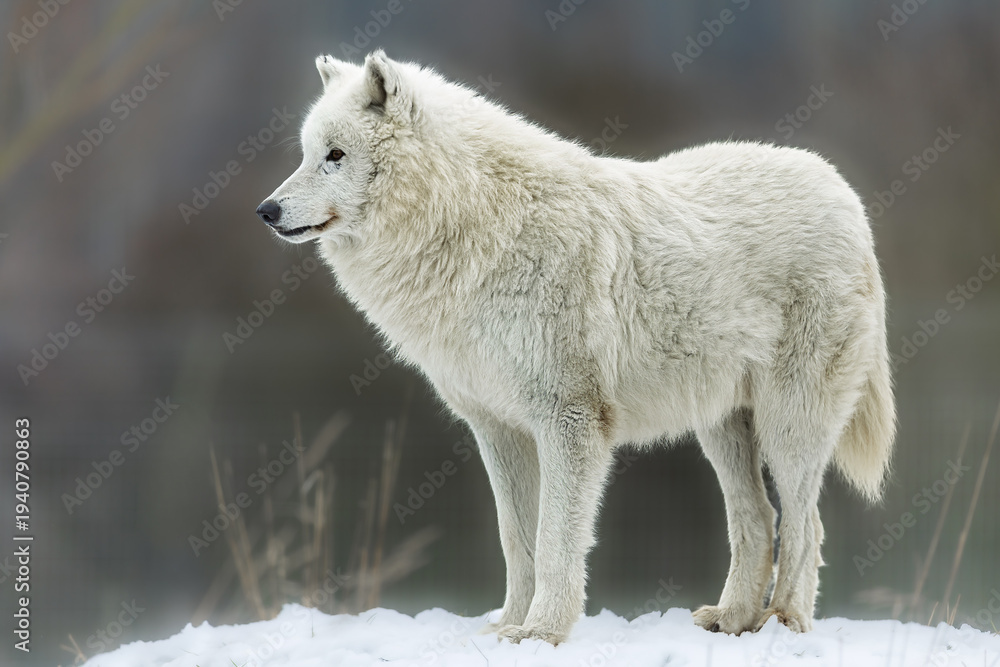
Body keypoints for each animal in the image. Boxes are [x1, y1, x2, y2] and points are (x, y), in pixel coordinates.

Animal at [257, 50, 895, 645]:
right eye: (306, 154)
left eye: (336, 155)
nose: (266, 211)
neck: (479, 227)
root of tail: (842, 191)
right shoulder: (497, 427)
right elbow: (516, 539)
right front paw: (506, 627)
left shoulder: (570, 420)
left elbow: (555, 538)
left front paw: (542, 632)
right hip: (721, 427)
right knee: (759, 518)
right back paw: (733, 620)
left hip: (789, 425)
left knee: (806, 526)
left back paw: (783, 623)